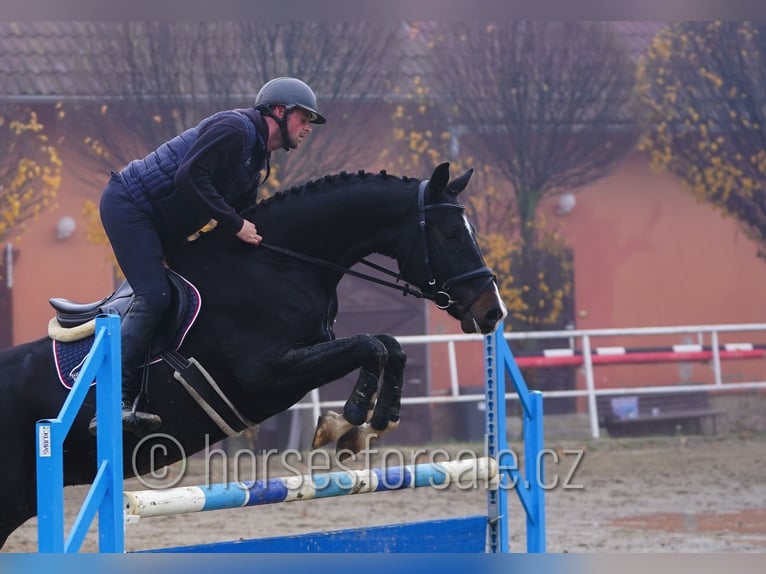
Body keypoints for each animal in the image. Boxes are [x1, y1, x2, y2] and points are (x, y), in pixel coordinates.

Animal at [0, 162, 506, 548]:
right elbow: (370, 345)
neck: (279, 263)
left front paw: (367, 426)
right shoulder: (269, 375)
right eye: (449, 233)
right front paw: (350, 419)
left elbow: (390, 346)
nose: (492, 311)